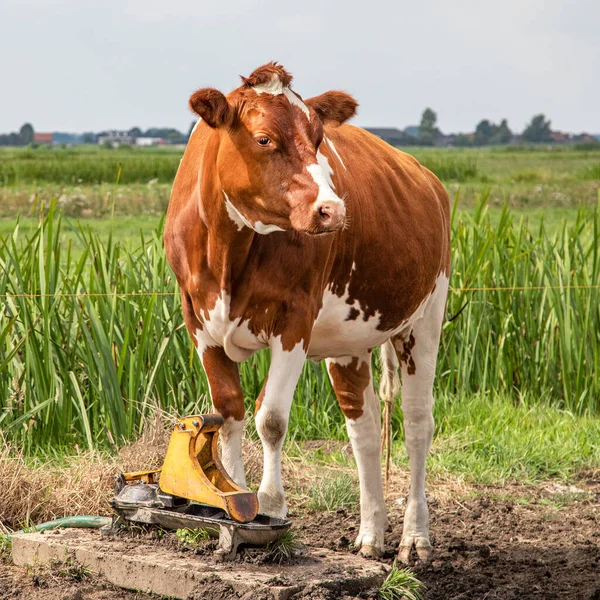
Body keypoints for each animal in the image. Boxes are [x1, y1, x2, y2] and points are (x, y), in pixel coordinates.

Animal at [164, 62, 450, 564]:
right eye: (263, 139)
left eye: (319, 138)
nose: (331, 209)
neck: (227, 252)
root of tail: (429, 179)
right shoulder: (198, 323)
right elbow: (229, 413)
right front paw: (231, 500)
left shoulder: (294, 319)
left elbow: (271, 419)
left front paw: (271, 505)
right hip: (350, 342)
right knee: (364, 427)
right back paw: (371, 535)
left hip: (426, 317)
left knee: (417, 423)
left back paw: (414, 538)